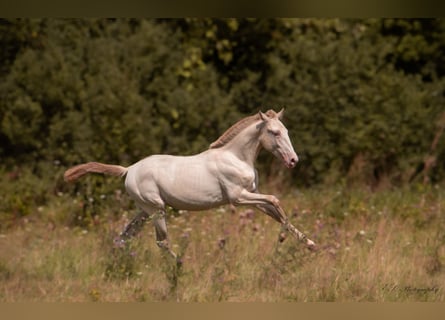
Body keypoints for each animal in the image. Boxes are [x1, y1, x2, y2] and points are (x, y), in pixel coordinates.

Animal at [64, 109, 316, 258]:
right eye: (274, 132)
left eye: (285, 130)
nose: (293, 160)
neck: (236, 157)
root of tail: (128, 170)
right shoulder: (238, 197)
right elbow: (276, 200)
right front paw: (283, 239)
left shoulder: (253, 197)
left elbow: (277, 213)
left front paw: (311, 243)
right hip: (157, 209)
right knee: (161, 242)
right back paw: (178, 265)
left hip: (144, 211)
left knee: (124, 237)